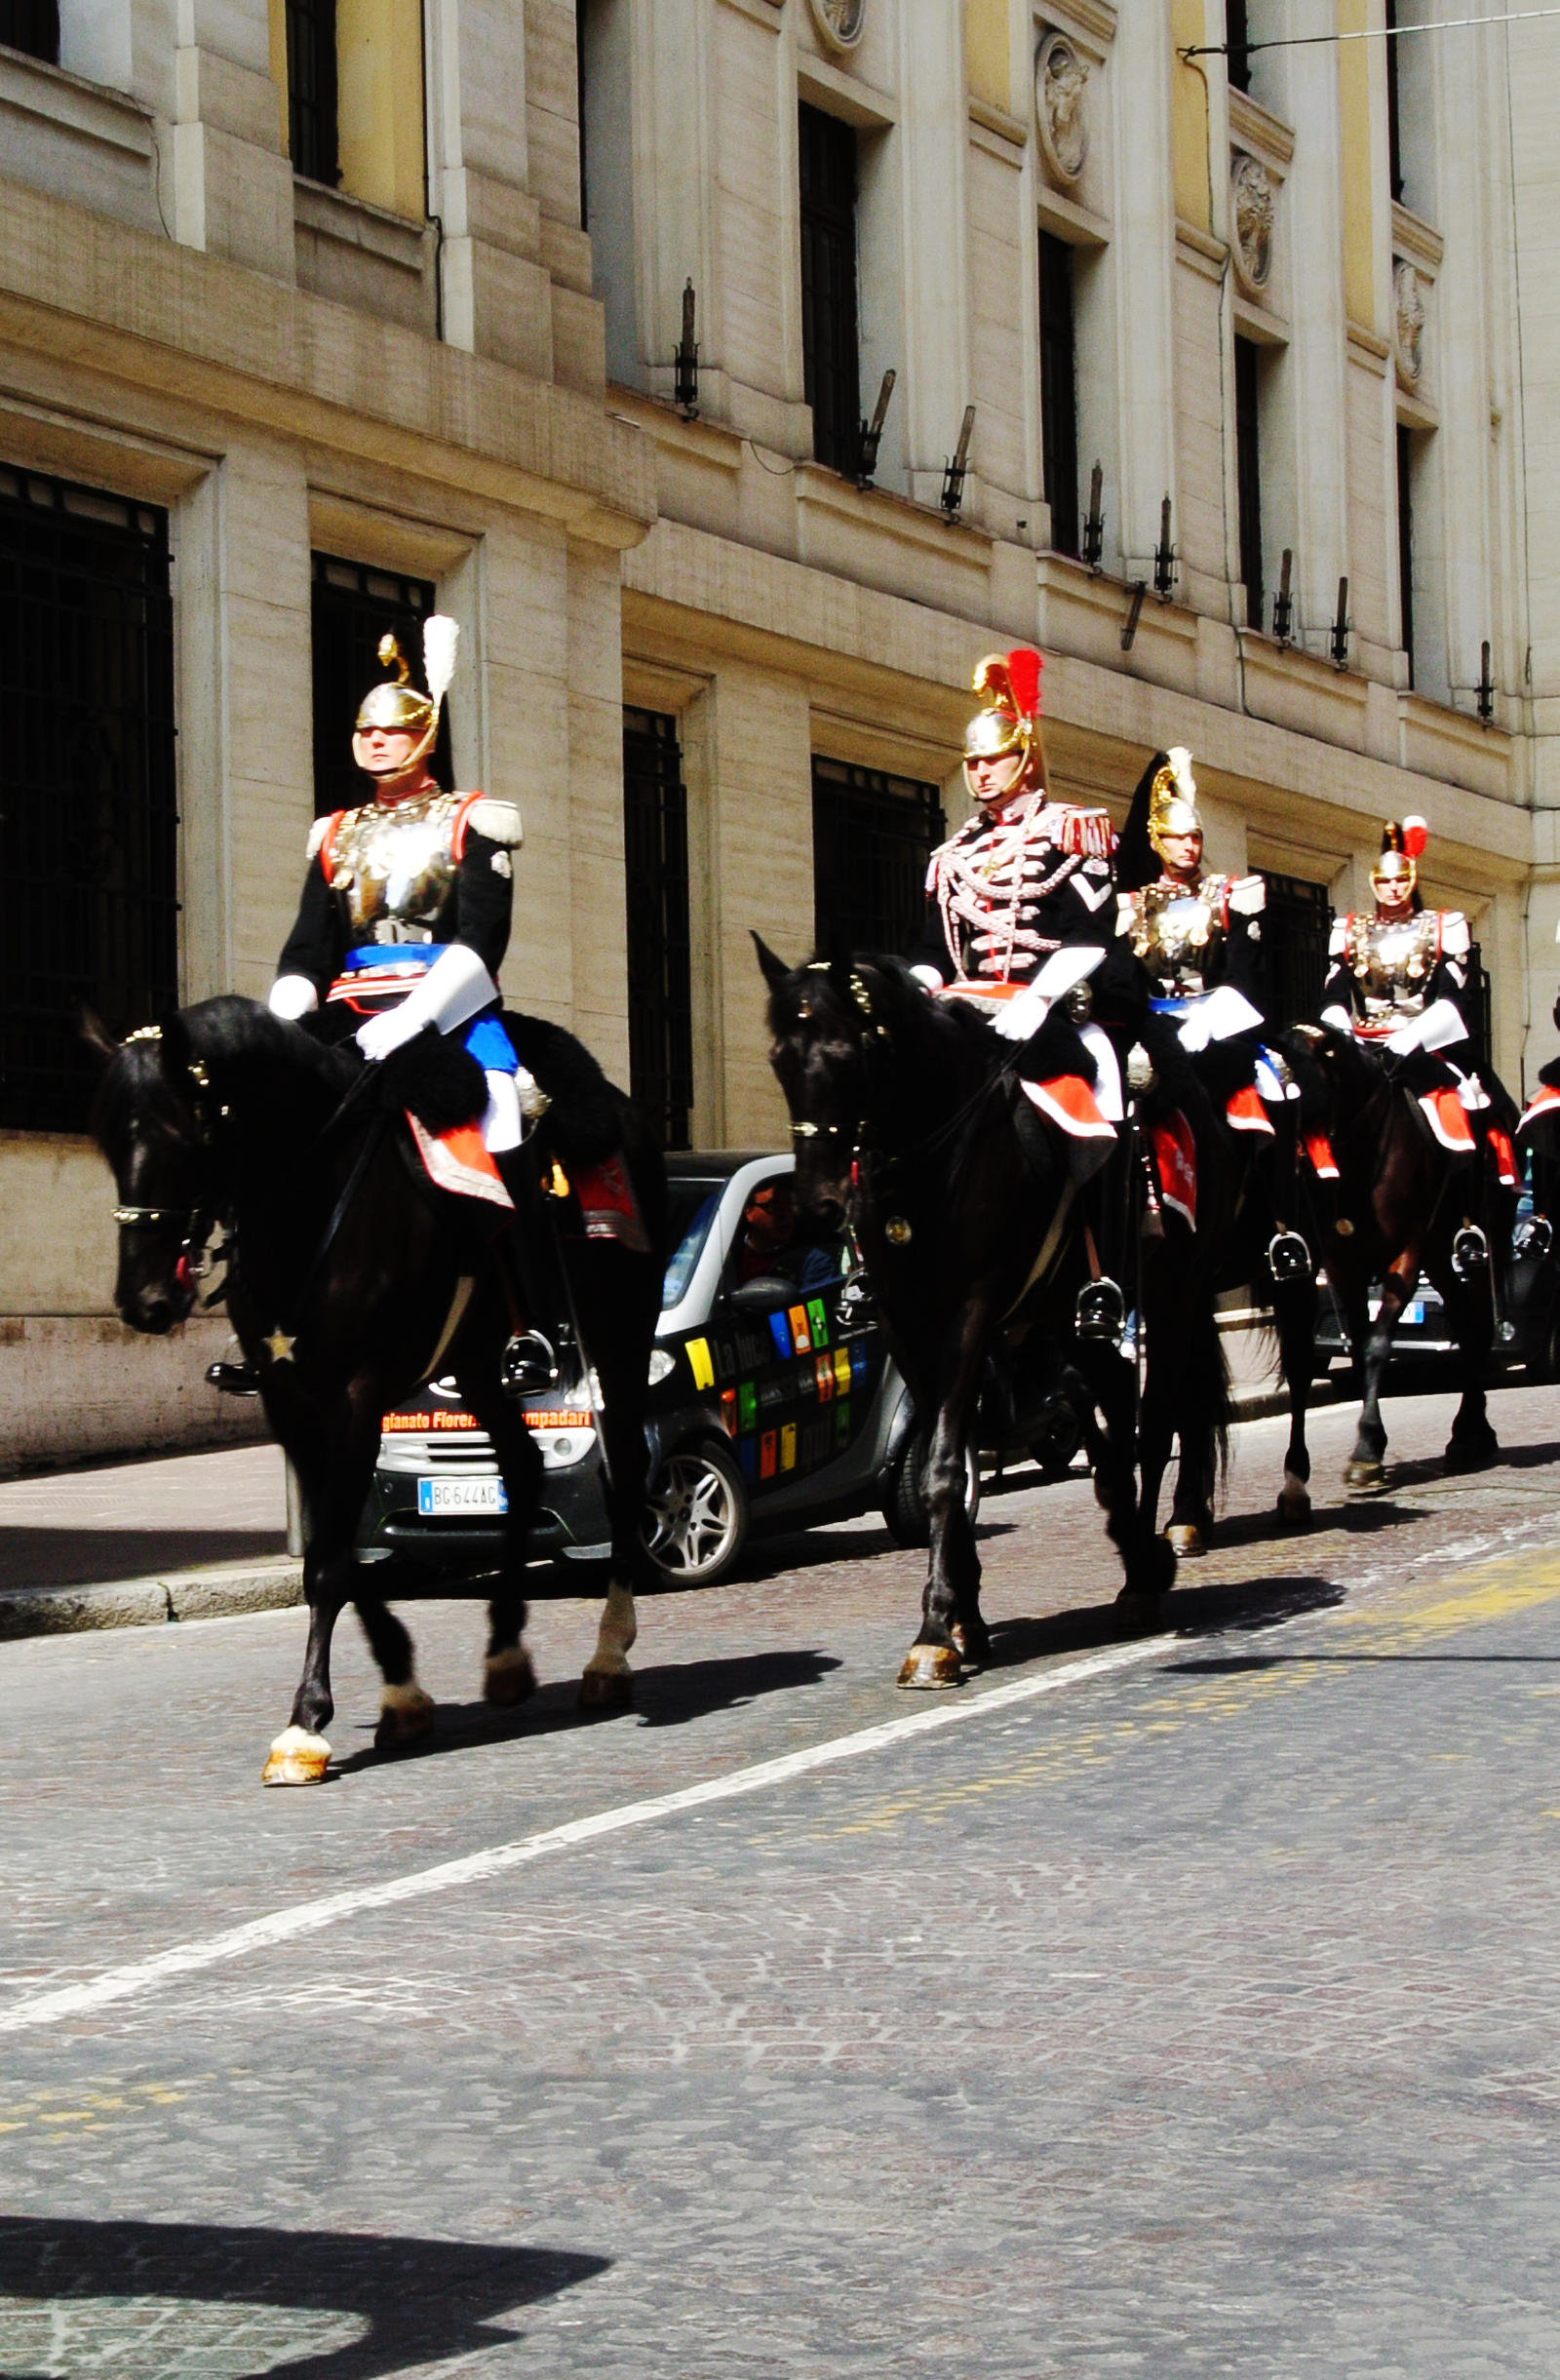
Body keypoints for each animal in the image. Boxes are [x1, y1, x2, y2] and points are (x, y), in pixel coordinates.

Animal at [92, 990, 666, 1789]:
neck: (309, 1194)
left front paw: (304, 1724)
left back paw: (609, 1655)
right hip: (479, 1364)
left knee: (623, 1473)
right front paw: (400, 1693)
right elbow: (336, 1552)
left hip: (620, 1331)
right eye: (108, 1141)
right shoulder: (291, 1402)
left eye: (183, 1133)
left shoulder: (356, 1398)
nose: (145, 1302)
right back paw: (507, 1654)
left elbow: (334, 1560)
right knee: (522, 1468)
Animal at [757, 937, 1171, 1685]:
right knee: (1083, 1416)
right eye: (779, 1058)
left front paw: (933, 1631)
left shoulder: (969, 1313)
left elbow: (947, 1469)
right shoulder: (907, 1322)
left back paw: (1139, 1580)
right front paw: (961, 1618)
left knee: (1121, 1424)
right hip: (1041, 1325)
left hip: (1102, 1313)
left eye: (845, 1054)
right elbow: (950, 1462)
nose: (818, 1207)